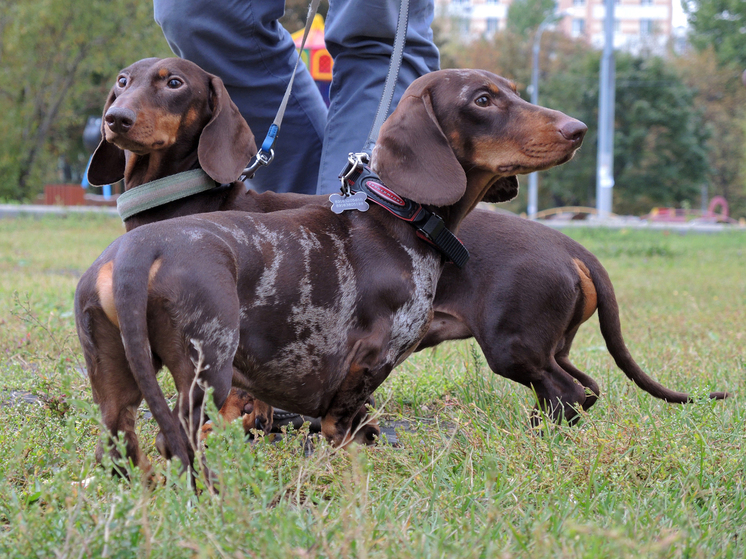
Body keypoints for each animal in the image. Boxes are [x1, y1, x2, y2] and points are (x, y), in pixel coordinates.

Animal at [77, 59, 588, 474]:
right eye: (482, 99)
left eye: (174, 83)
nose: (578, 129)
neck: (396, 215)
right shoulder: (358, 359)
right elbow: (329, 421)